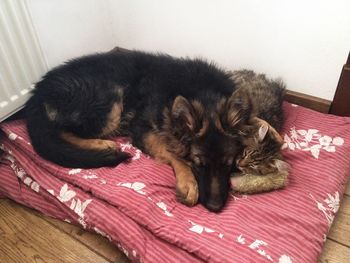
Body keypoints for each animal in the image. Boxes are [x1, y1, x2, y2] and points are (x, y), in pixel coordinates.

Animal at [26, 50, 252, 212]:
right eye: (199, 164)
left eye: (229, 164)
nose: (215, 208)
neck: (202, 93)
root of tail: (36, 95)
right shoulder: (142, 130)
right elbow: (173, 154)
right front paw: (188, 182)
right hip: (110, 103)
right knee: (60, 132)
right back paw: (102, 144)